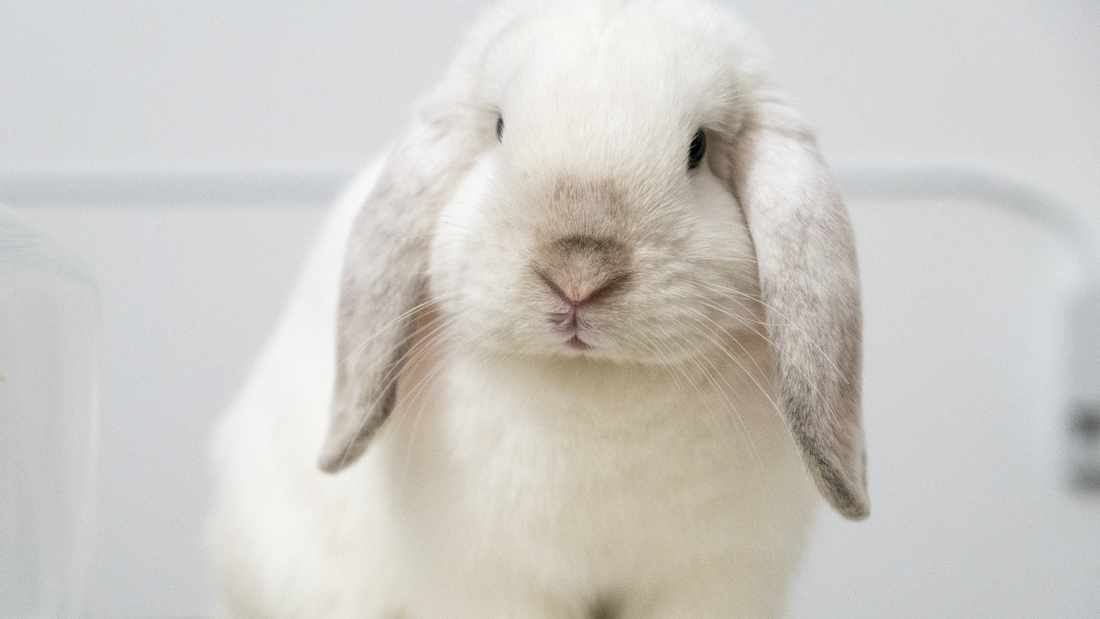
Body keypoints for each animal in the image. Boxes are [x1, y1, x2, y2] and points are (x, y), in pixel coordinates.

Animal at [207, 0, 868, 618]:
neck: (593, 384)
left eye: (698, 148)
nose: (577, 276)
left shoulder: (713, 578)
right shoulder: (492, 579)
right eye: (500, 128)